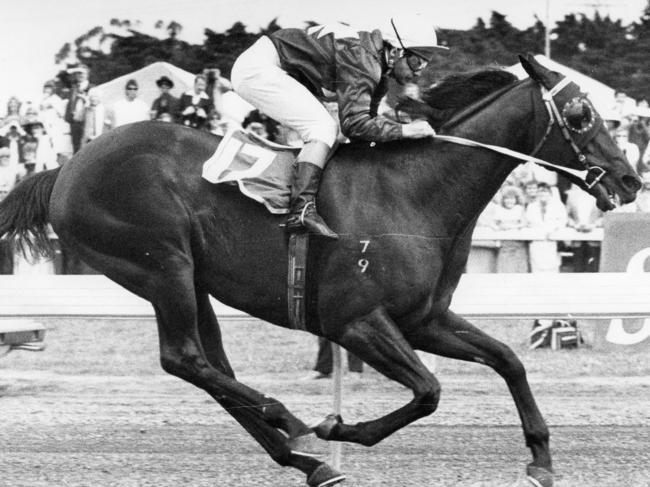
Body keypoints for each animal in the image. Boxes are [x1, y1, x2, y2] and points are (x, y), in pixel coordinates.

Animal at [0, 55, 636, 486]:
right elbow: (428, 391)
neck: (415, 192)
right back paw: (293, 423)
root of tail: (63, 169)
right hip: (161, 267)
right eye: (581, 114)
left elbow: (507, 360)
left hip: (191, 281)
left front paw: (541, 458)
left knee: (211, 365)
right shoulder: (355, 321)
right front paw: (336, 428)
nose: (630, 179)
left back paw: (303, 459)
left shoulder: (424, 319)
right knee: (184, 359)